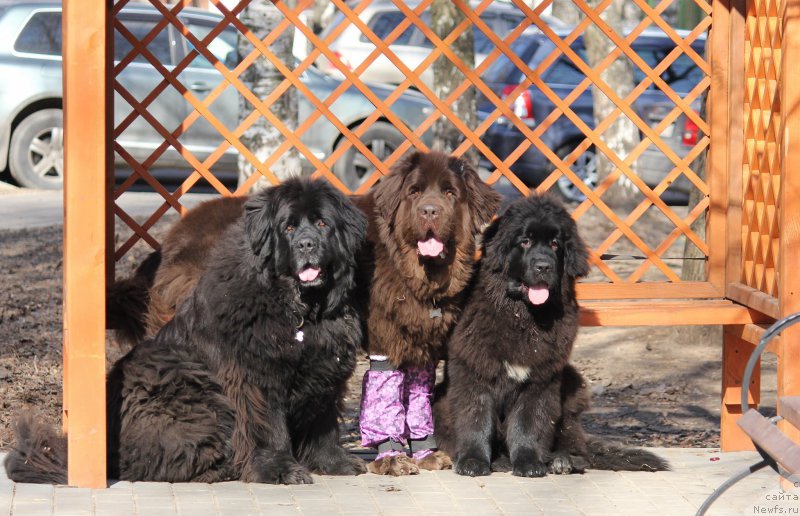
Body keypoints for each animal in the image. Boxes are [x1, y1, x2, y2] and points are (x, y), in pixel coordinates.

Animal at [5, 178, 368, 484]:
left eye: (322, 224)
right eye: (289, 227)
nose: (307, 245)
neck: (301, 312)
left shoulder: (326, 370)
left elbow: (323, 423)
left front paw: (335, 463)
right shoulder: (255, 377)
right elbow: (267, 426)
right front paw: (278, 471)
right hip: (192, 393)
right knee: (152, 462)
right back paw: (220, 469)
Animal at [432, 192, 668, 476]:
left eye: (555, 244)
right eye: (524, 241)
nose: (543, 266)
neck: (523, 316)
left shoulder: (542, 378)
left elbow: (528, 423)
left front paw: (529, 463)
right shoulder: (474, 371)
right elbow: (476, 418)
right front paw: (473, 461)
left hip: (572, 386)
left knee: (578, 445)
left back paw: (563, 461)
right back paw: (502, 461)